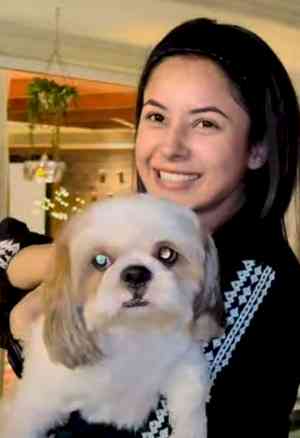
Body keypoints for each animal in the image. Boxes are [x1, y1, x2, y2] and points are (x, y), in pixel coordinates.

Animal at [0, 195, 224, 438]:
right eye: (100, 260)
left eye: (166, 254)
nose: (136, 274)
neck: (129, 333)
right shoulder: (37, 400)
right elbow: (22, 423)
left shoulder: (185, 359)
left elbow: (190, 403)